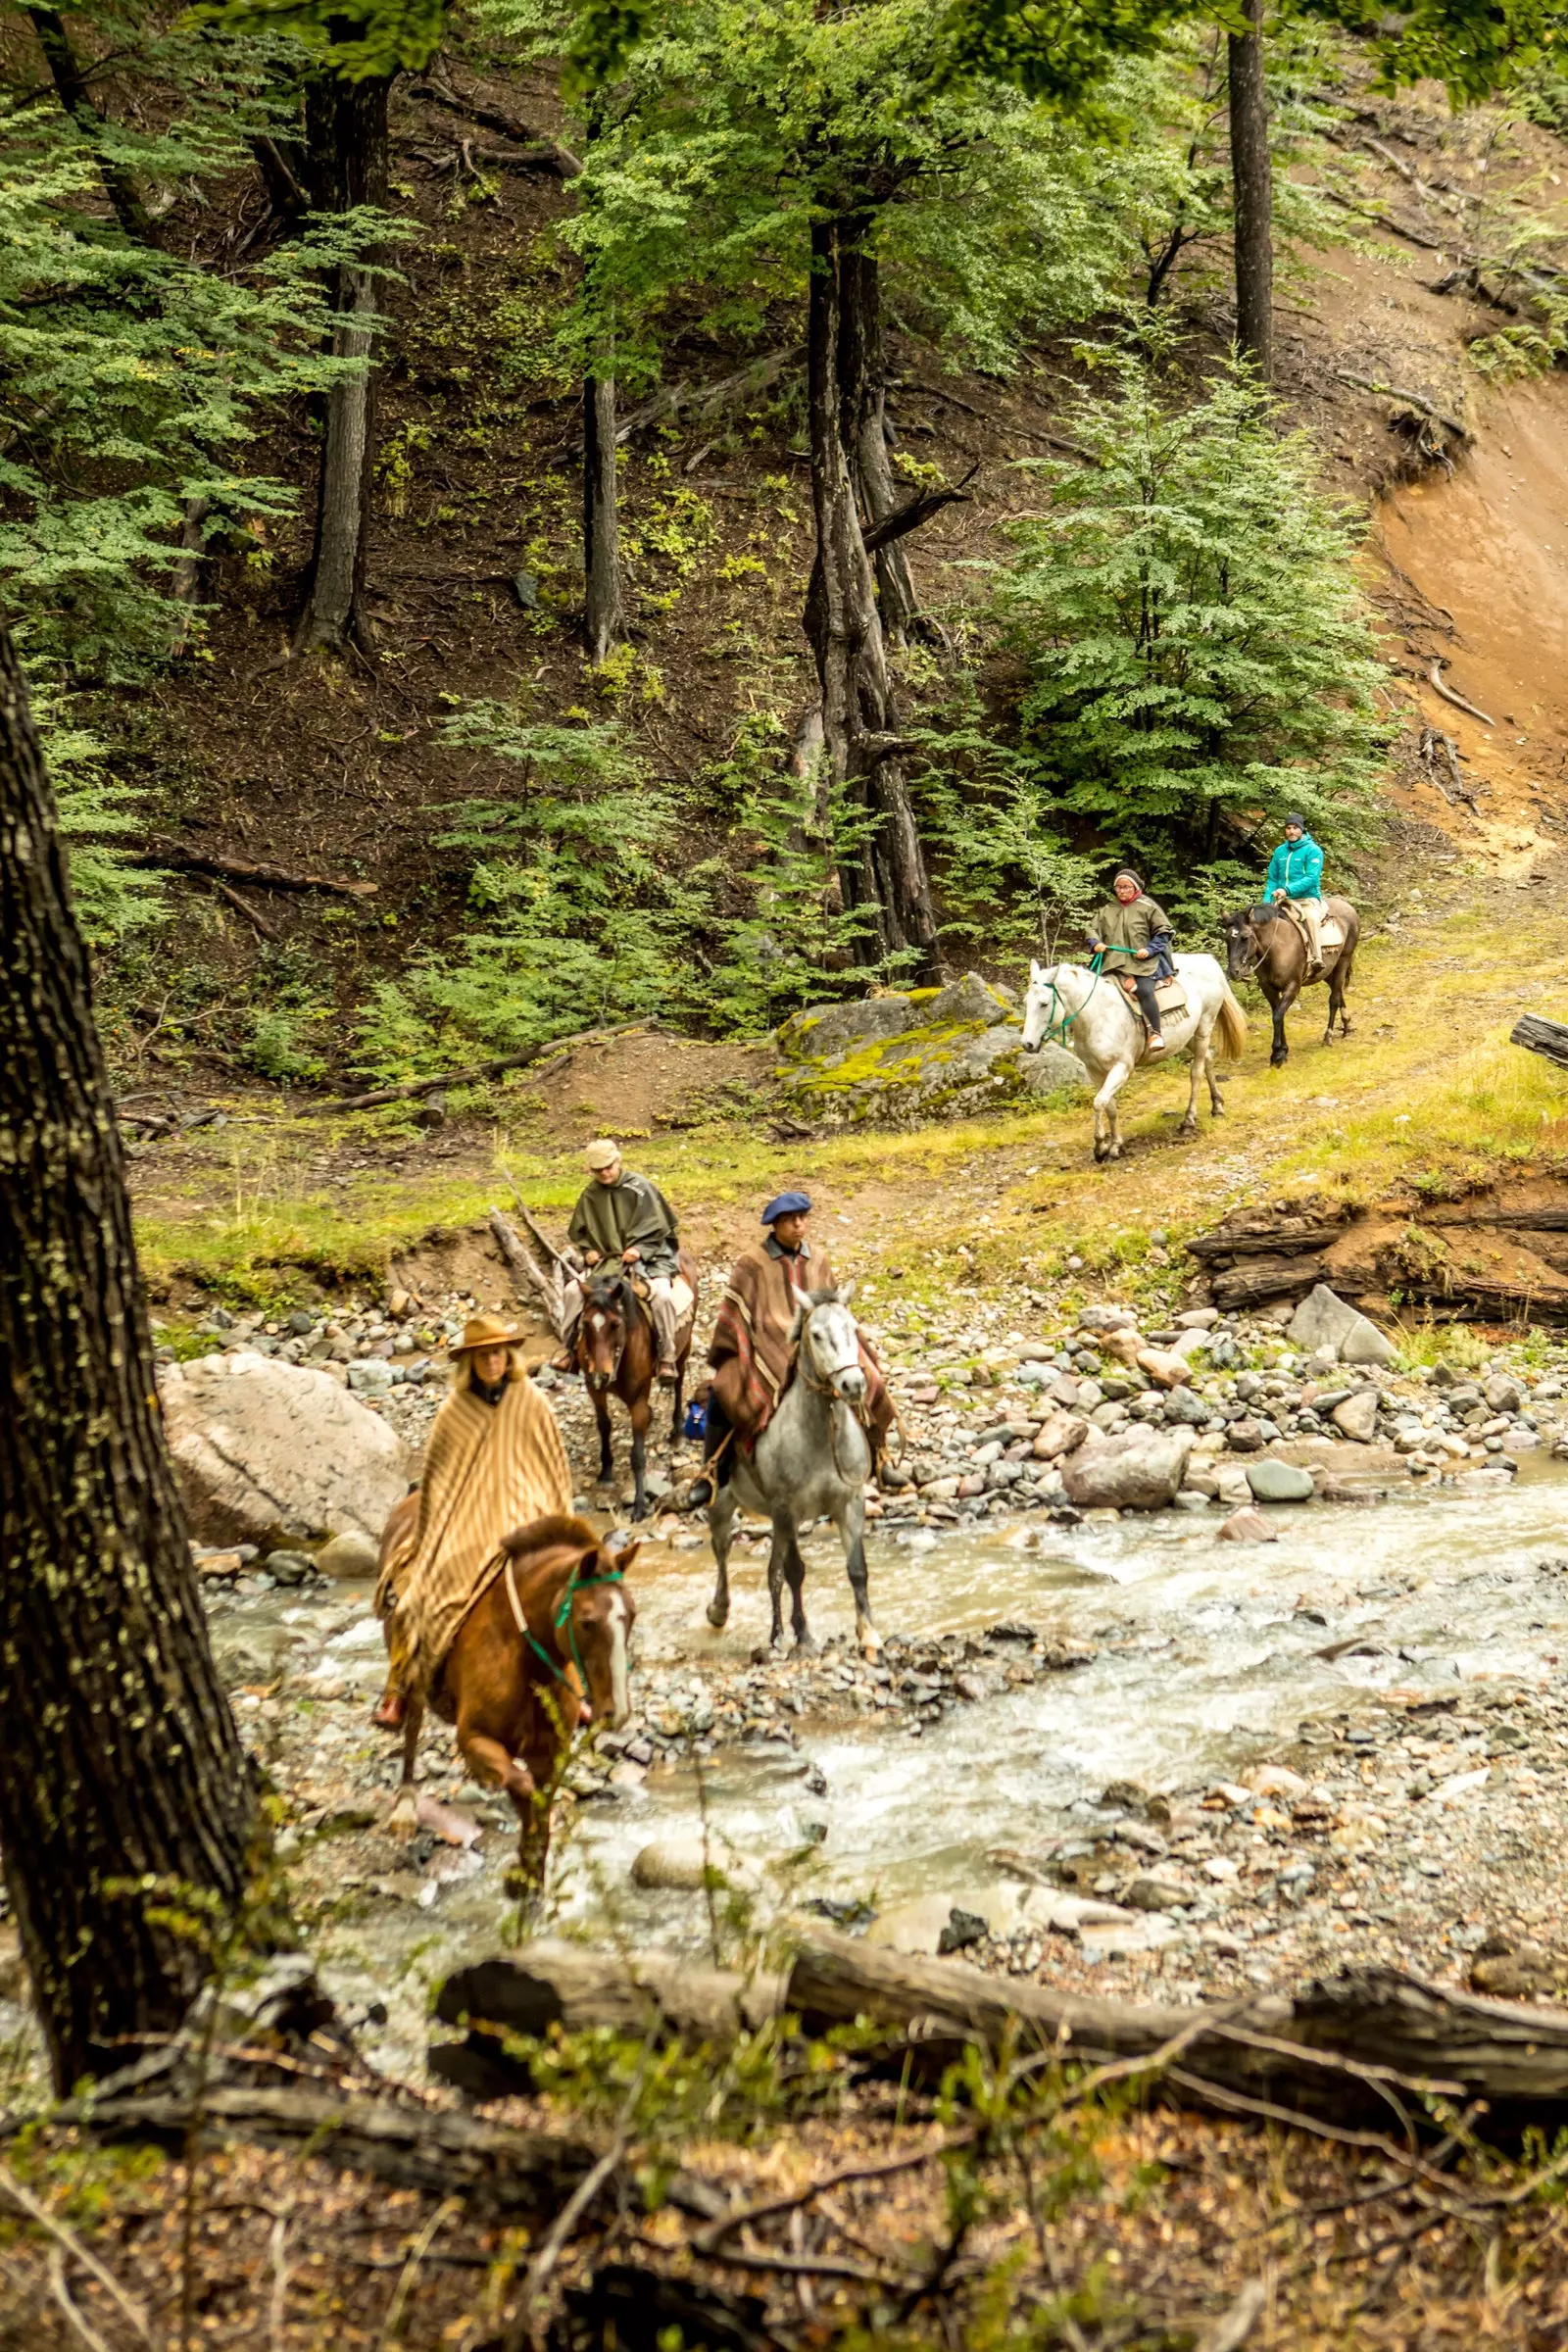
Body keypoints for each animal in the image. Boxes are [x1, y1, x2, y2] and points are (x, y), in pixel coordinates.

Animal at [387, 1514, 639, 1882]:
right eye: (587, 1622)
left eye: (632, 1615)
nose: (616, 1712)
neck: (524, 1663)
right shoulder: (474, 1738)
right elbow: (523, 1789)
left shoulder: (550, 1753)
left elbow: (538, 1804)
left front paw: (531, 1870)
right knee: (412, 1729)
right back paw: (405, 1810)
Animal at [575, 1250, 700, 1524]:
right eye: (586, 1323)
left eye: (615, 1324)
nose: (601, 1374)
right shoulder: (595, 1391)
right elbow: (604, 1425)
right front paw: (606, 1470)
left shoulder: (638, 1399)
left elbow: (638, 1455)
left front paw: (640, 1506)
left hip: (682, 1349)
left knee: (678, 1383)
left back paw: (677, 1431)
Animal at [700, 1289, 879, 1655]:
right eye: (817, 1335)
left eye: (853, 1328)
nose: (853, 1384)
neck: (821, 1437)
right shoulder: (787, 1508)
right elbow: (792, 1572)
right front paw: (798, 1636)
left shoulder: (850, 1504)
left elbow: (857, 1570)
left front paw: (868, 1634)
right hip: (726, 1503)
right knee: (722, 1548)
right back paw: (720, 1611)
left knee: (771, 1569)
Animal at [1020, 955, 1250, 1166]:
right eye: (1026, 1002)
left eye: (1044, 1004)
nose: (1027, 1044)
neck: (1098, 1016)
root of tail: (1208, 960)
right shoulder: (1095, 1071)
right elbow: (1110, 1106)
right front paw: (1115, 1146)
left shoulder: (1122, 1068)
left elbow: (1099, 1102)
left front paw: (1100, 1147)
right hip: (1189, 1036)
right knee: (1208, 1060)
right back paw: (1217, 1107)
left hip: (1204, 1028)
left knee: (1196, 1072)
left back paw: (1188, 1121)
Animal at [1222, 894, 1363, 1072]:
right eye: (1226, 938)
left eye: (1245, 937)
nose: (1233, 972)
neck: (1278, 948)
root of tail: (1348, 907)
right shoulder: (1268, 989)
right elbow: (1278, 1015)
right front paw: (1283, 1051)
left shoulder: (1292, 987)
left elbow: (1277, 1016)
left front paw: (1277, 1055)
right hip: (1328, 970)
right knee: (1337, 993)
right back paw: (1347, 1025)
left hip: (1343, 961)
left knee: (1334, 999)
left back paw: (1328, 1036)